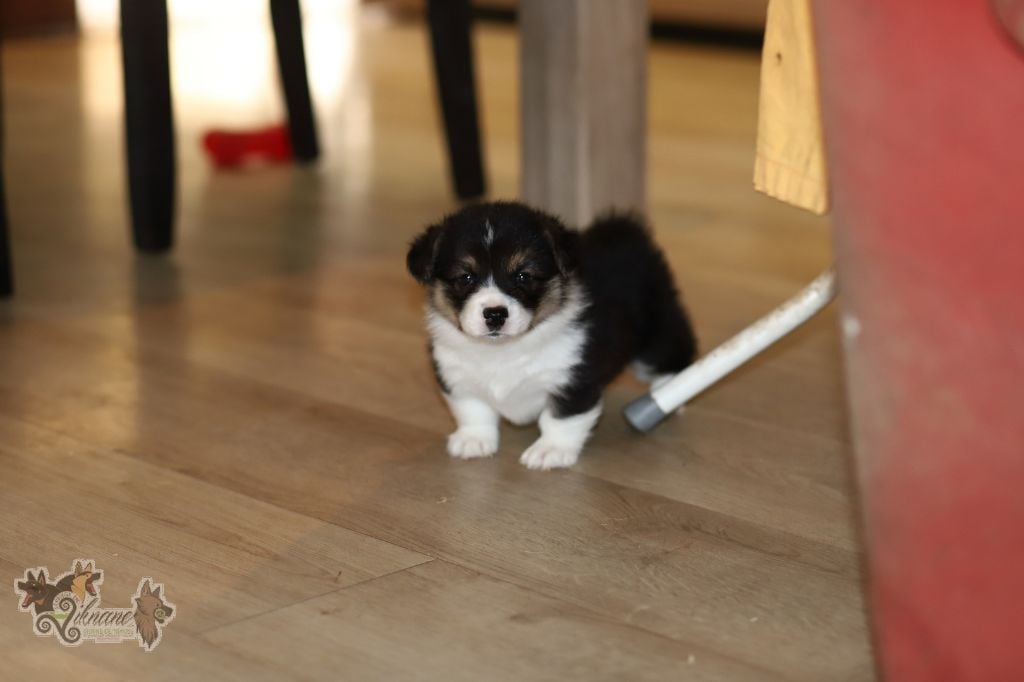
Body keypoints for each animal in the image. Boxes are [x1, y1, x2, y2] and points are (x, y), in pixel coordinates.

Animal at [407, 201, 696, 470]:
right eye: (465, 277)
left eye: (523, 276)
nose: (495, 314)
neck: (503, 350)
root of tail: (624, 230)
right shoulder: (456, 376)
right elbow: (473, 409)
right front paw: (474, 440)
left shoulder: (574, 380)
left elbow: (561, 419)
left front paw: (551, 450)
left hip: (656, 332)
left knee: (672, 350)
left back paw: (669, 390)